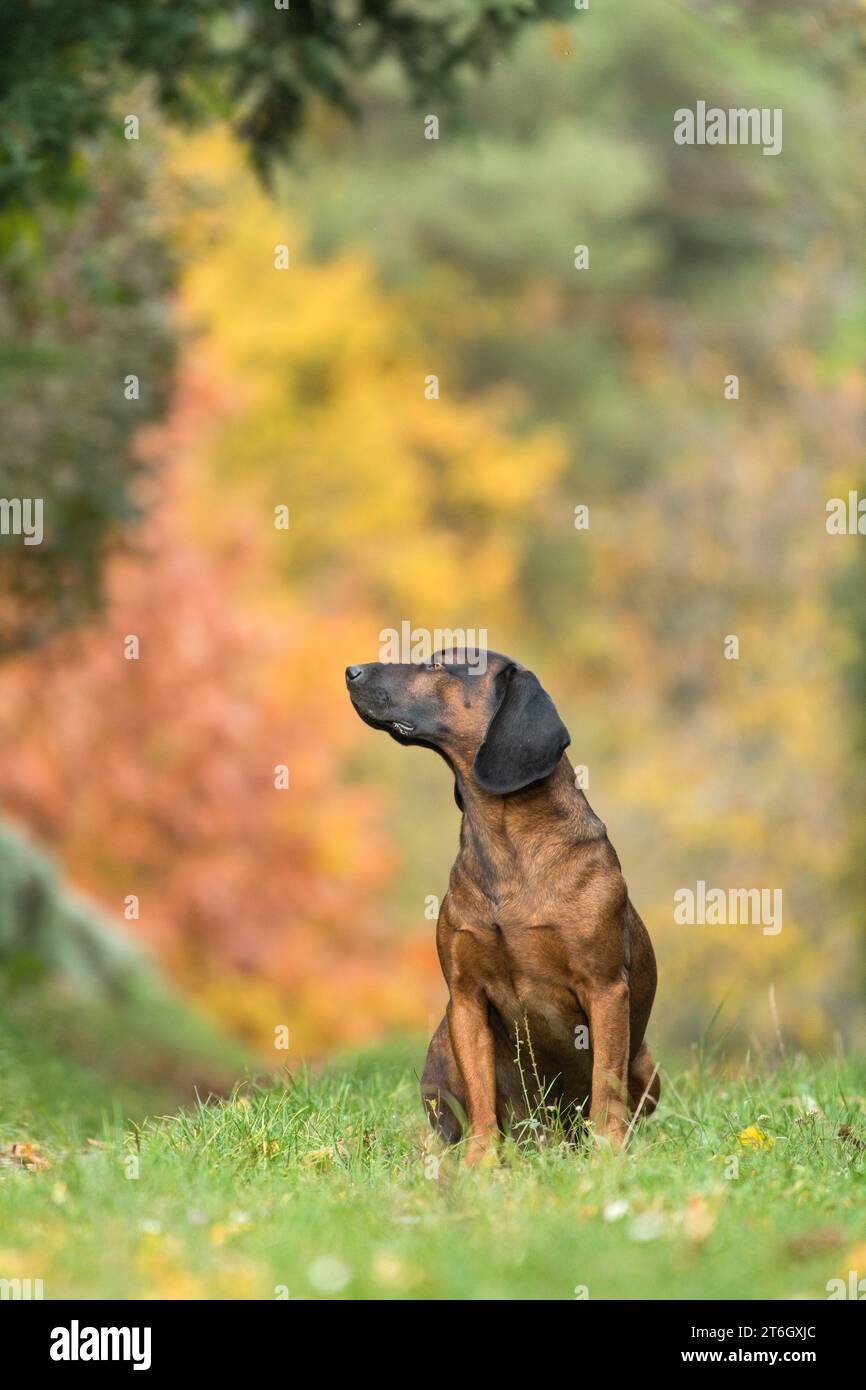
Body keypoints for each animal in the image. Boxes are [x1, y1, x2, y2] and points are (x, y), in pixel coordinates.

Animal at [346, 647, 656, 1162]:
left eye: (440, 666)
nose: (351, 670)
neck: (504, 845)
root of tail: (547, 1136)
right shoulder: (466, 996)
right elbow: (481, 1099)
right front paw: (481, 1164)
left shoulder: (606, 989)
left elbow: (605, 1087)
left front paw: (607, 1158)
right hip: (442, 1052)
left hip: (647, 1067)